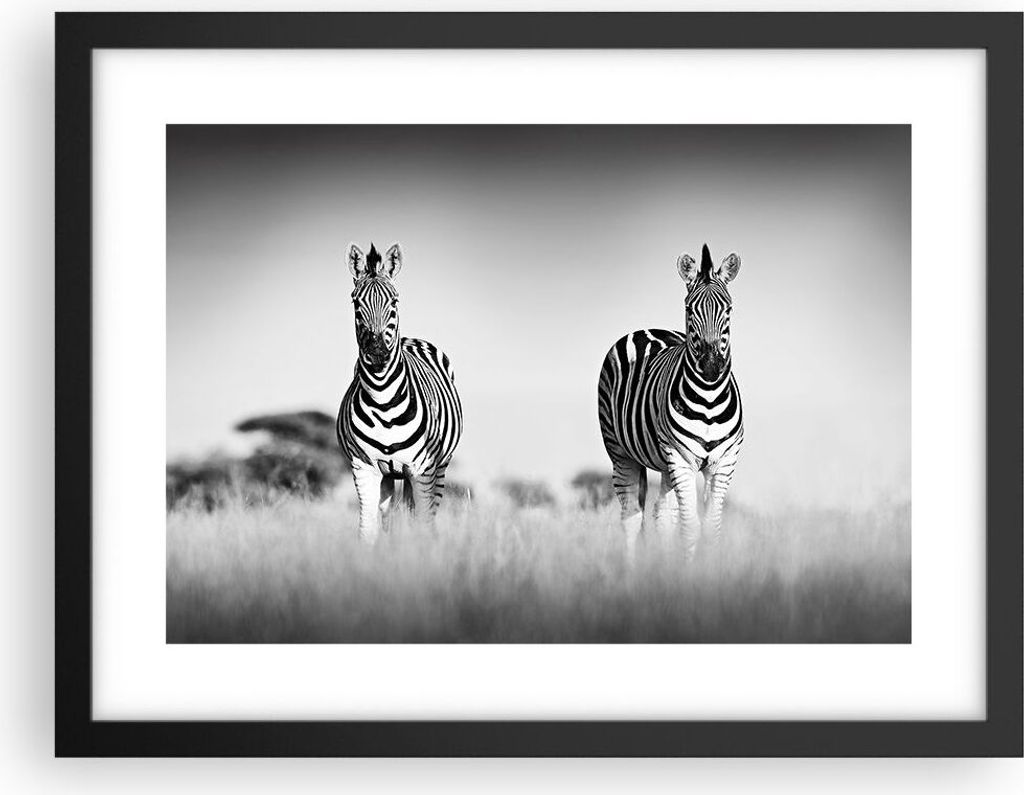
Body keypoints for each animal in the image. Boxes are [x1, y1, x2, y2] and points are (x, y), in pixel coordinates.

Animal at [337, 242, 463, 543]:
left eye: (394, 302)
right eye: (356, 303)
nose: (377, 353)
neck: (383, 401)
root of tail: (410, 339)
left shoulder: (423, 470)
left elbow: (423, 525)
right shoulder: (364, 468)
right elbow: (368, 530)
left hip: (439, 468)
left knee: (423, 516)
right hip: (390, 475)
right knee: (391, 516)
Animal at [597, 243, 743, 561]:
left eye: (728, 309)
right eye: (689, 309)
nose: (711, 367)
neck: (709, 398)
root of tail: (646, 329)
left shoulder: (724, 462)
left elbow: (710, 527)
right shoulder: (680, 457)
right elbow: (690, 527)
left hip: (664, 463)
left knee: (662, 515)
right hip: (621, 452)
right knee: (631, 516)